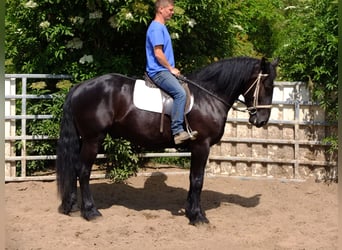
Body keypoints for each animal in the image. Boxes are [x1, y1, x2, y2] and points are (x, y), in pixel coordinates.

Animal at [56, 56, 278, 225]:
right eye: (267, 85)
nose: (262, 120)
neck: (208, 97)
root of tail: (79, 87)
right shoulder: (201, 145)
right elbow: (198, 180)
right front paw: (198, 217)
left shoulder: (195, 148)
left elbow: (192, 178)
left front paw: (190, 211)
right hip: (93, 139)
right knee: (84, 171)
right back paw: (91, 212)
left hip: (83, 139)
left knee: (75, 169)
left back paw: (72, 206)